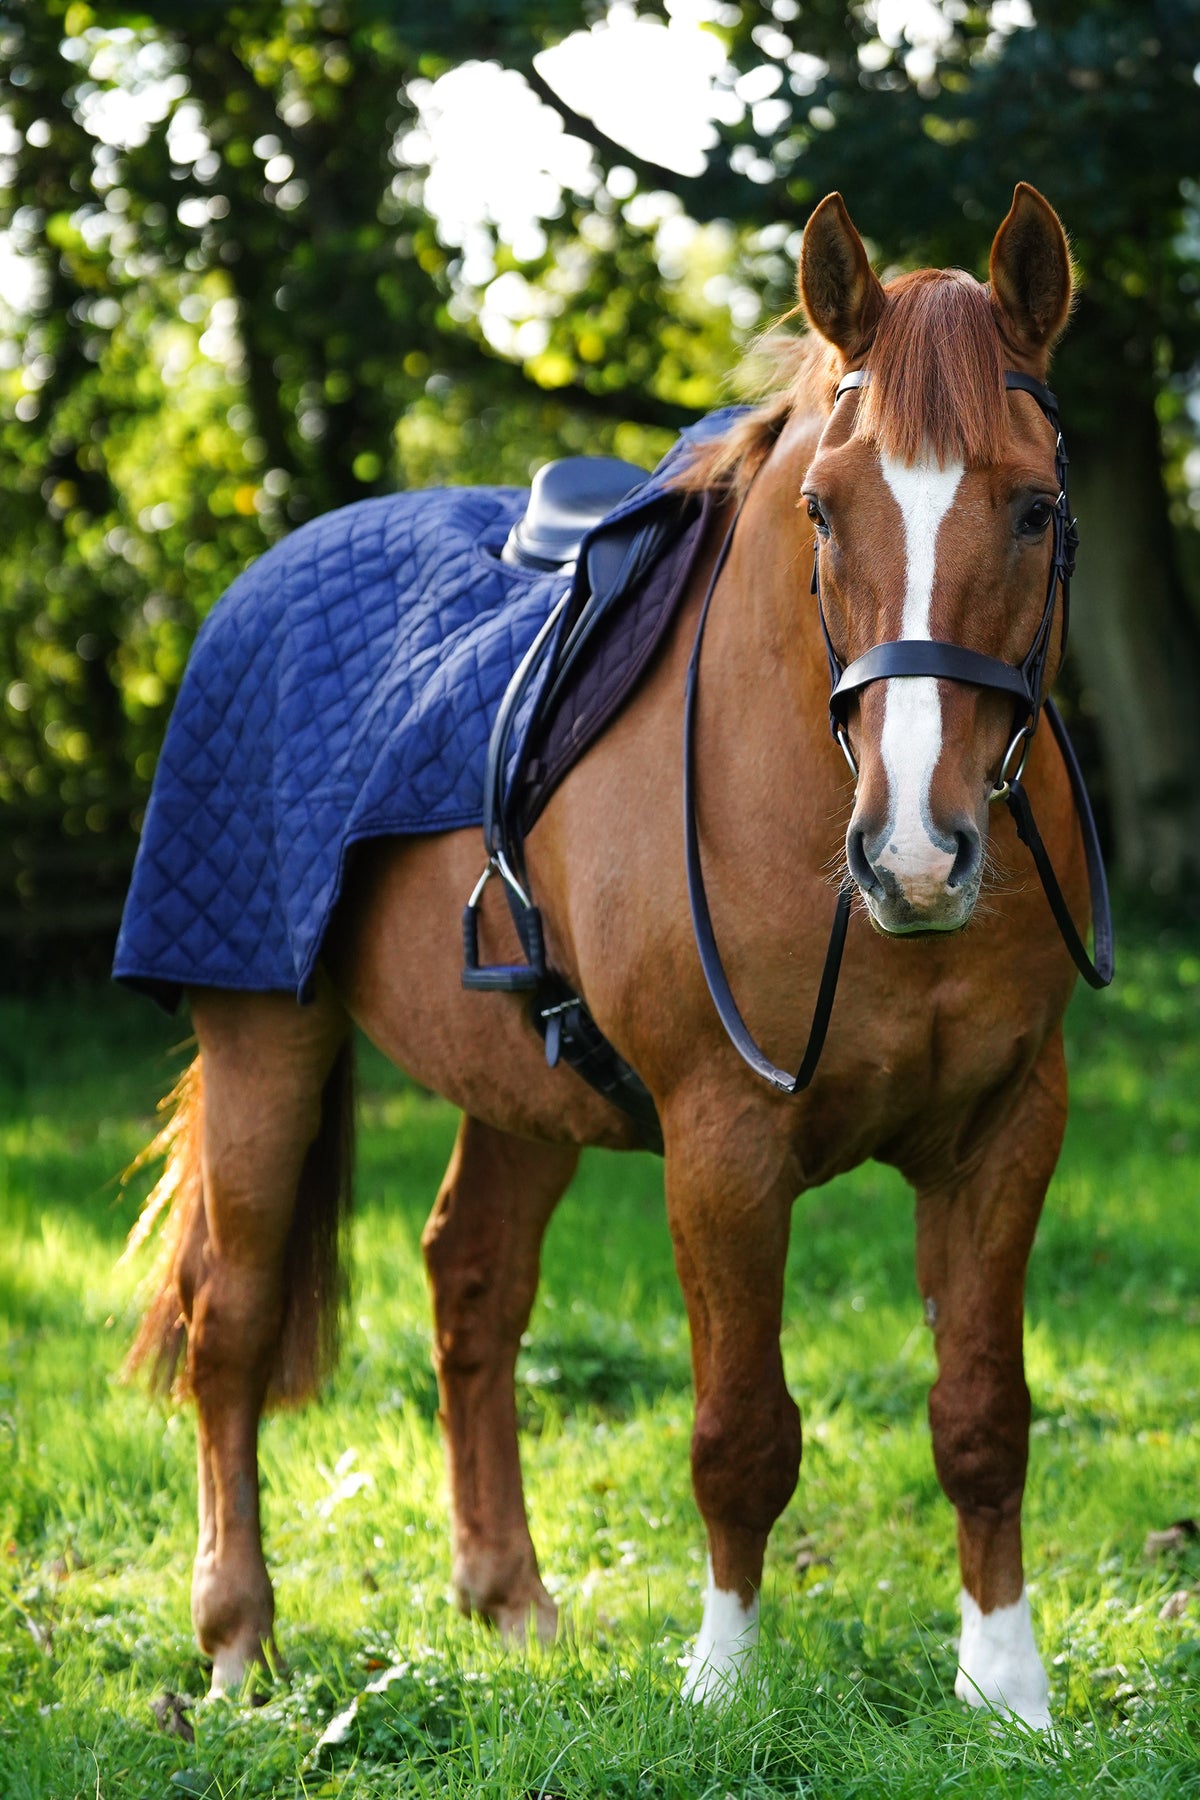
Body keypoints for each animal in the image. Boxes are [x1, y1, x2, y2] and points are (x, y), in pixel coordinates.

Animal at [124, 184, 1098, 1729]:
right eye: (823, 510)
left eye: (1035, 506)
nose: (915, 854)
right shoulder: (723, 1143)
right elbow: (742, 1433)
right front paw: (721, 1686)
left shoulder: (1006, 1131)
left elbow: (982, 1417)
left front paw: (1007, 1690)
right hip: (262, 1037)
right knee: (231, 1322)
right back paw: (236, 1639)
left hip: (521, 1089)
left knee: (471, 1286)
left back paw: (509, 1602)